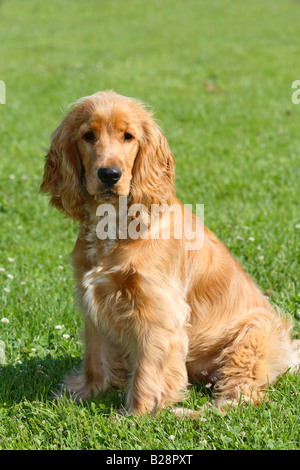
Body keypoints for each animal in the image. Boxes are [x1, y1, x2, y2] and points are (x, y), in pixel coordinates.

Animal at [40, 91, 300, 414]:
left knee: (236, 399)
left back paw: (185, 414)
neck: (115, 222)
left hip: (253, 335)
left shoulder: (159, 310)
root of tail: (289, 352)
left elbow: (149, 369)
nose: (110, 174)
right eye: (88, 136)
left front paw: (136, 415)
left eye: (128, 136)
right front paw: (86, 393)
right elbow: (96, 358)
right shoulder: (93, 302)